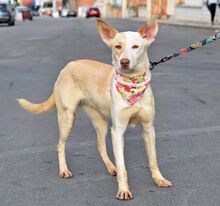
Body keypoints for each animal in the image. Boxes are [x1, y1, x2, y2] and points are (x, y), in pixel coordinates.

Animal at [16, 18, 172, 200]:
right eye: (117, 46)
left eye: (136, 46)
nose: (124, 62)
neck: (132, 83)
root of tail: (67, 67)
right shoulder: (117, 131)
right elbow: (123, 167)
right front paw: (123, 189)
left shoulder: (148, 128)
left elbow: (153, 159)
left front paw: (159, 179)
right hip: (67, 118)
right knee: (60, 145)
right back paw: (64, 170)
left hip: (101, 122)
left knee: (100, 146)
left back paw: (111, 167)